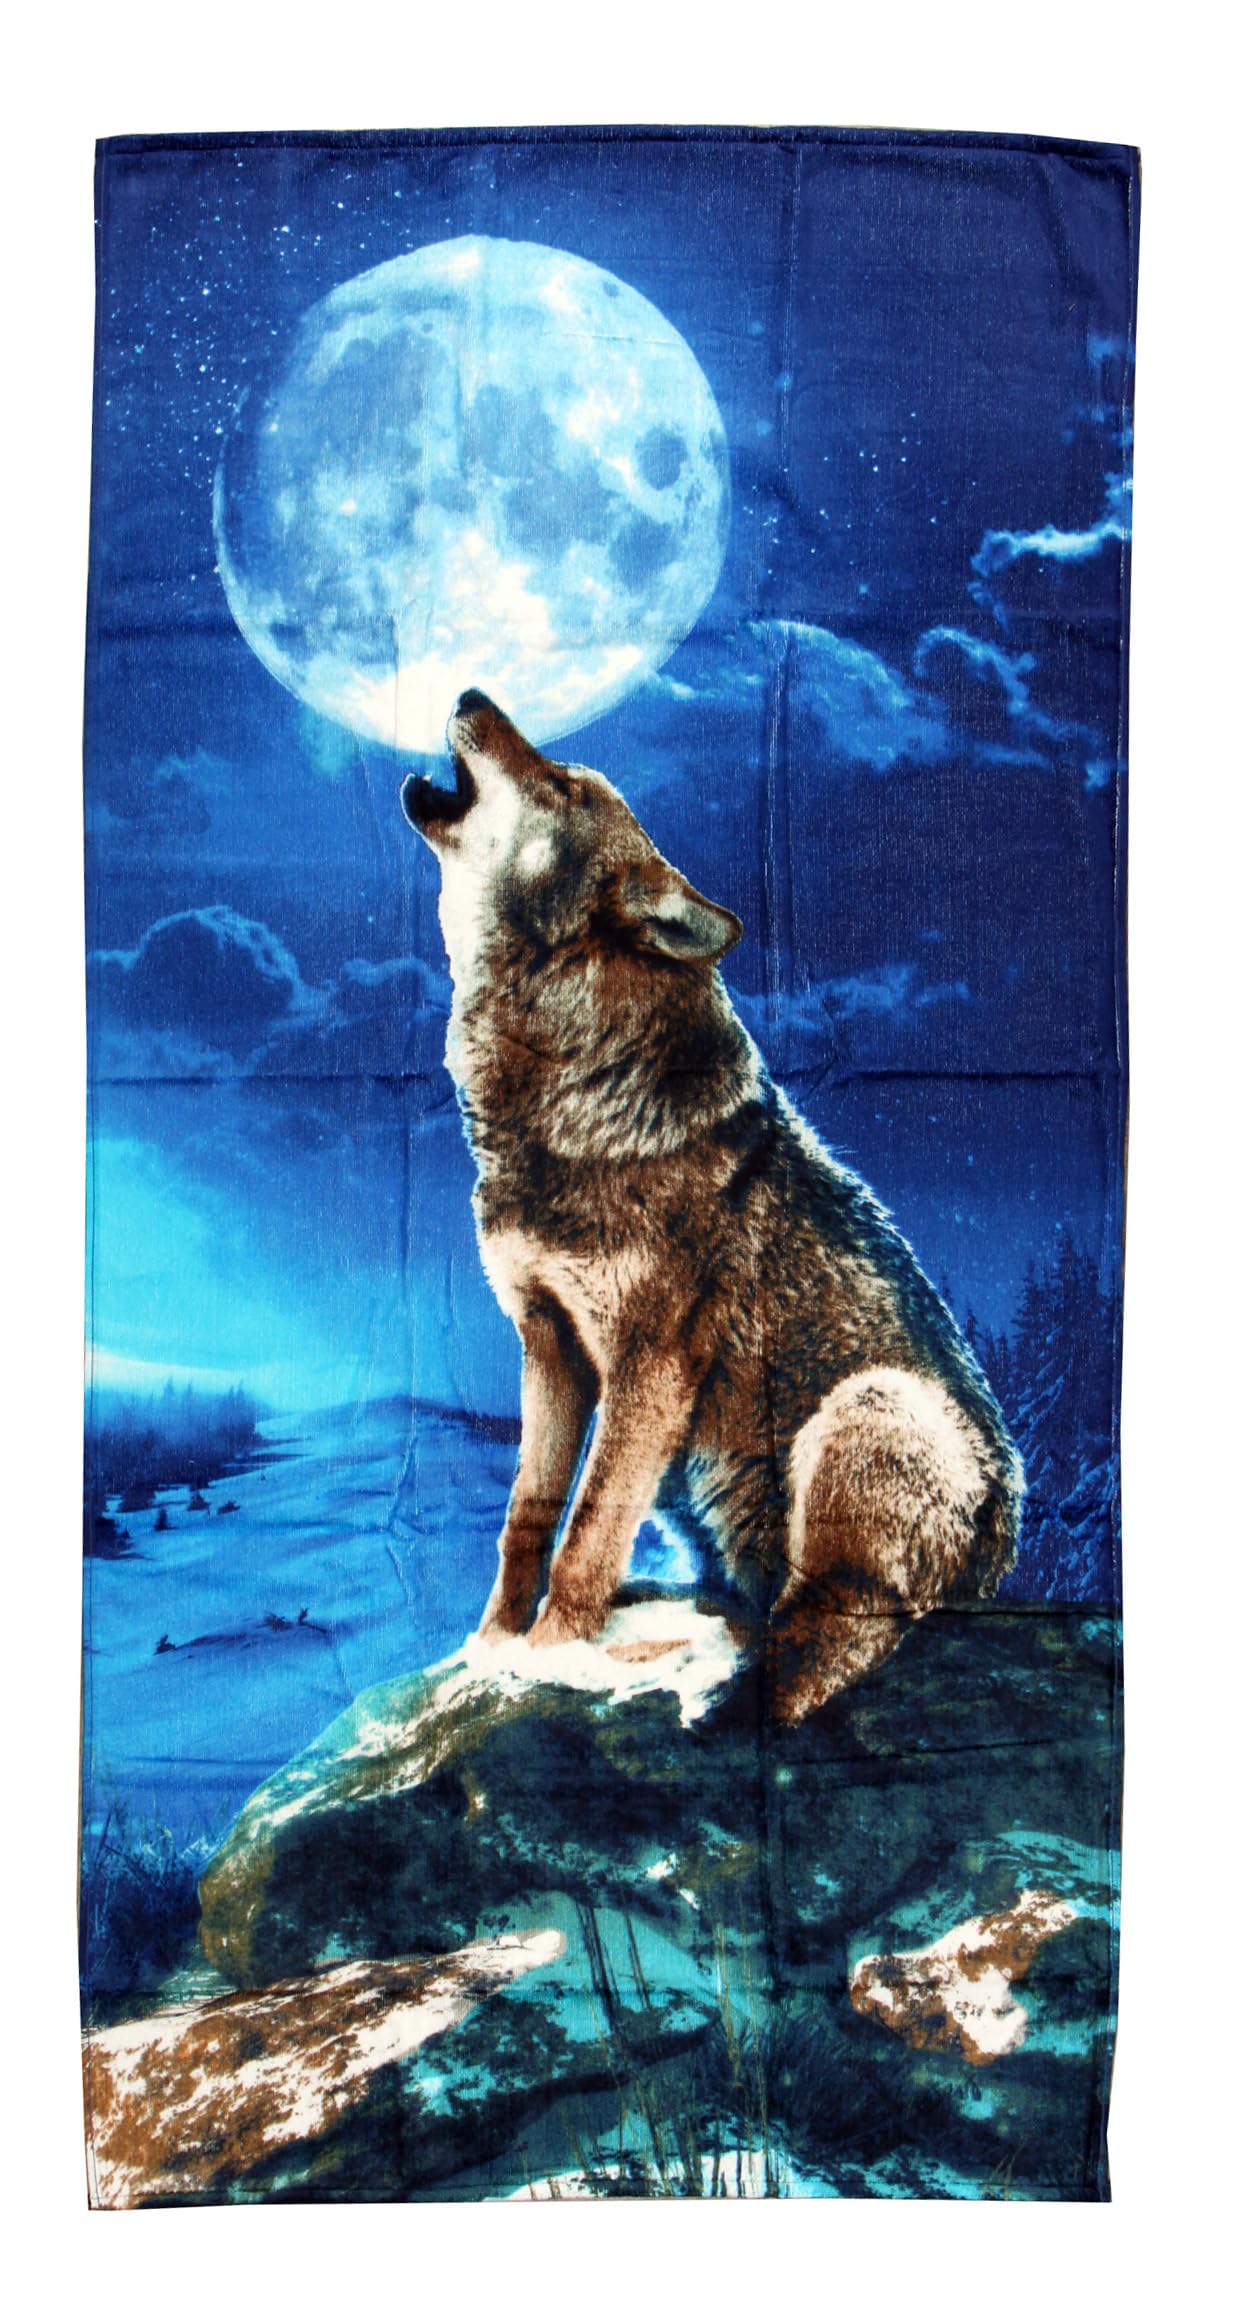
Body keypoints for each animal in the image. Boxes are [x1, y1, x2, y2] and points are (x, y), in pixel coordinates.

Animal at [402, 691, 1022, 1723]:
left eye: (561, 785)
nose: (471, 697)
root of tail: (1001, 1569)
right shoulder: (550, 1347)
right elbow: (528, 1518)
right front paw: (490, 1648)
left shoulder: (650, 1365)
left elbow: (588, 1532)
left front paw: (552, 1657)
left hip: (867, 1407)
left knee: (835, 1629)